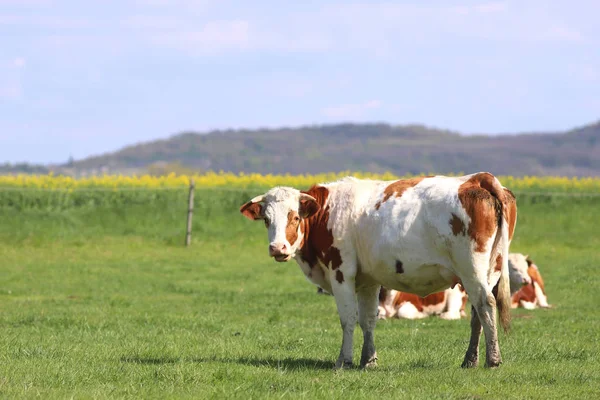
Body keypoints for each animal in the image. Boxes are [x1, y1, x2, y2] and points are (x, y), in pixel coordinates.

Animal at [241, 173, 516, 368]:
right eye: (267, 220)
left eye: (295, 217)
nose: (277, 248)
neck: (328, 212)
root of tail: (476, 178)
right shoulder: (368, 281)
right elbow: (368, 319)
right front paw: (368, 360)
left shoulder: (341, 272)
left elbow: (348, 318)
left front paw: (344, 360)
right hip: (490, 270)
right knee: (477, 313)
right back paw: (470, 360)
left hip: (472, 269)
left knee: (486, 305)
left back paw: (493, 359)